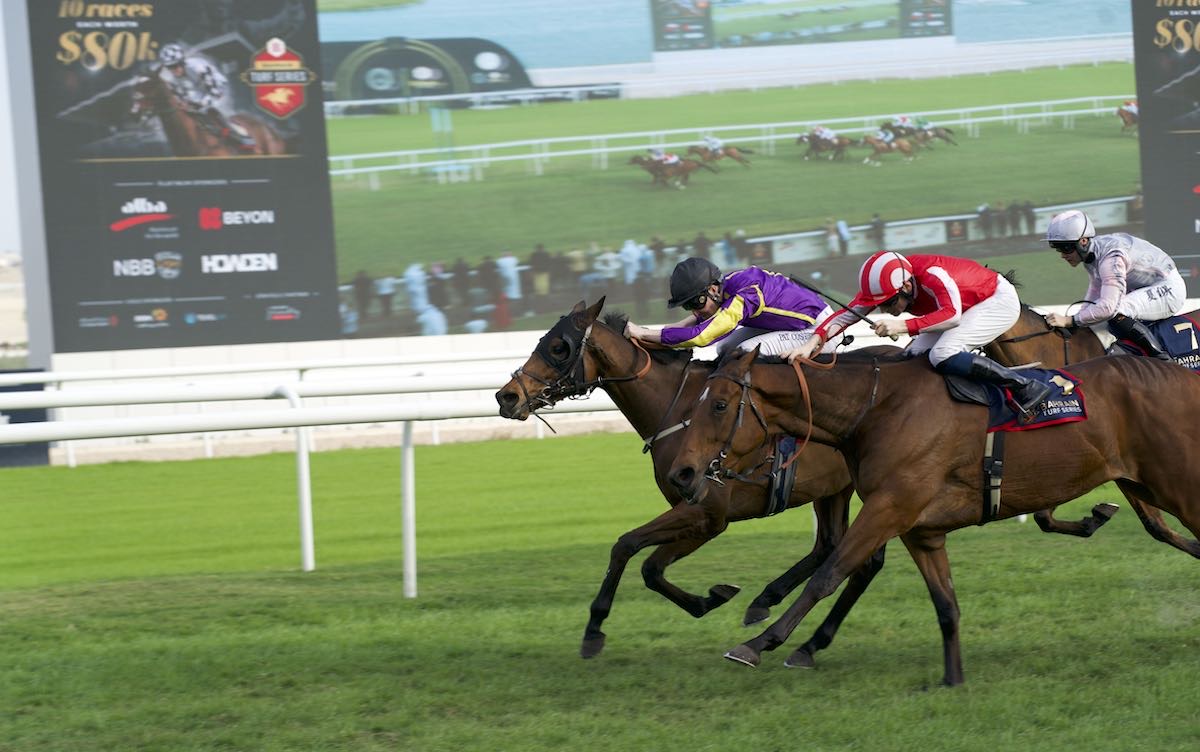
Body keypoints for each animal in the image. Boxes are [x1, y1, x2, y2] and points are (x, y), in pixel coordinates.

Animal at [667, 350, 1200, 686]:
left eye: (719, 405)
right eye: (696, 403)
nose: (682, 473)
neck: (877, 409)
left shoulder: (889, 507)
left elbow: (828, 574)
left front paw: (759, 643)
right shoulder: (921, 529)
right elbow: (946, 605)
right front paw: (953, 679)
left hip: (1179, 485)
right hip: (1142, 484)